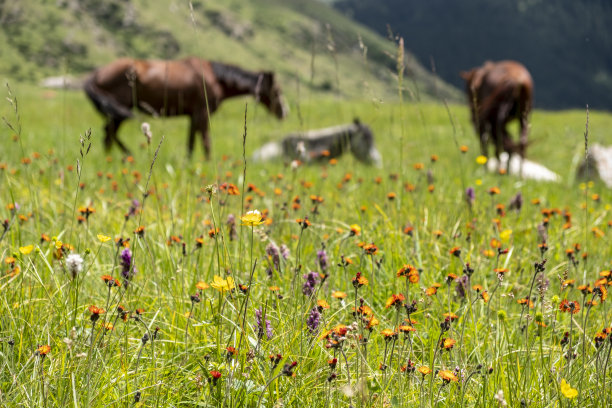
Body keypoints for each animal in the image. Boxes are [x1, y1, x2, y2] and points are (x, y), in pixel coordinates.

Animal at [83, 57, 290, 158]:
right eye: (277, 91)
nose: (284, 112)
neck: (215, 78)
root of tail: (95, 74)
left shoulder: (193, 116)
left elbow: (191, 142)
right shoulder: (203, 113)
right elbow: (206, 141)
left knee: (109, 134)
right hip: (119, 111)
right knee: (109, 134)